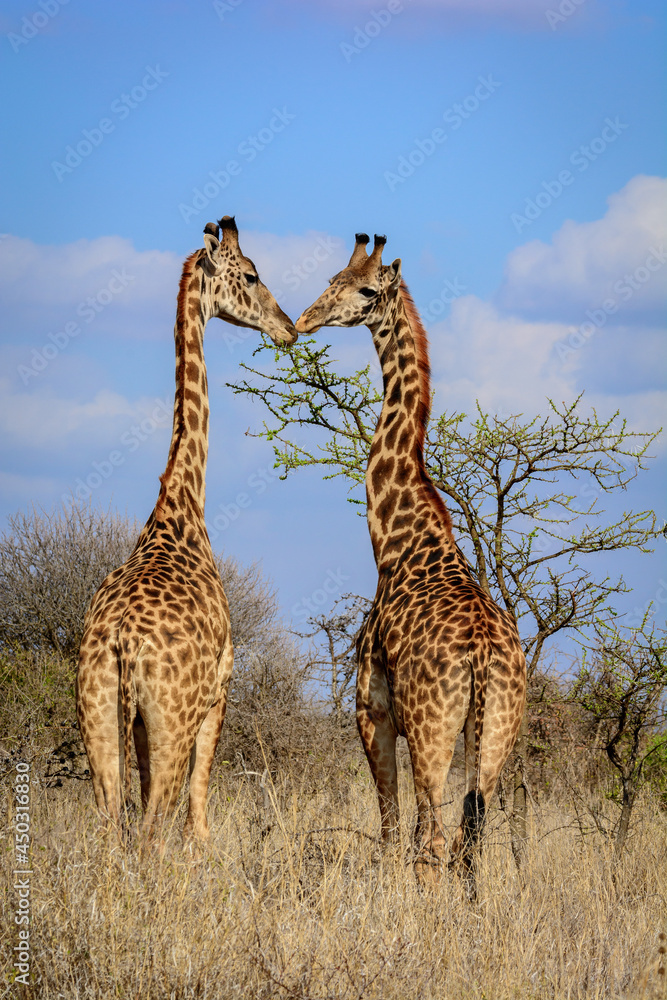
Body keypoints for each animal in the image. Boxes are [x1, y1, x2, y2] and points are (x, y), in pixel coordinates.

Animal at [76, 216, 297, 844]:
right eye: (252, 274)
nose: (289, 327)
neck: (180, 506)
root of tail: (123, 644)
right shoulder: (222, 685)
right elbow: (200, 814)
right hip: (171, 719)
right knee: (153, 826)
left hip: (98, 716)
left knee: (111, 823)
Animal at [295, 233, 526, 890]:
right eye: (333, 278)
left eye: (367, 290)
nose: (305, 319)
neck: (395, 542)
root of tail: (483, 656)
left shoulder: (370, 711)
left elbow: (389, 831)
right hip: (495, 733)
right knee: (469, 841)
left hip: (431, 730)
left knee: (434, 841)